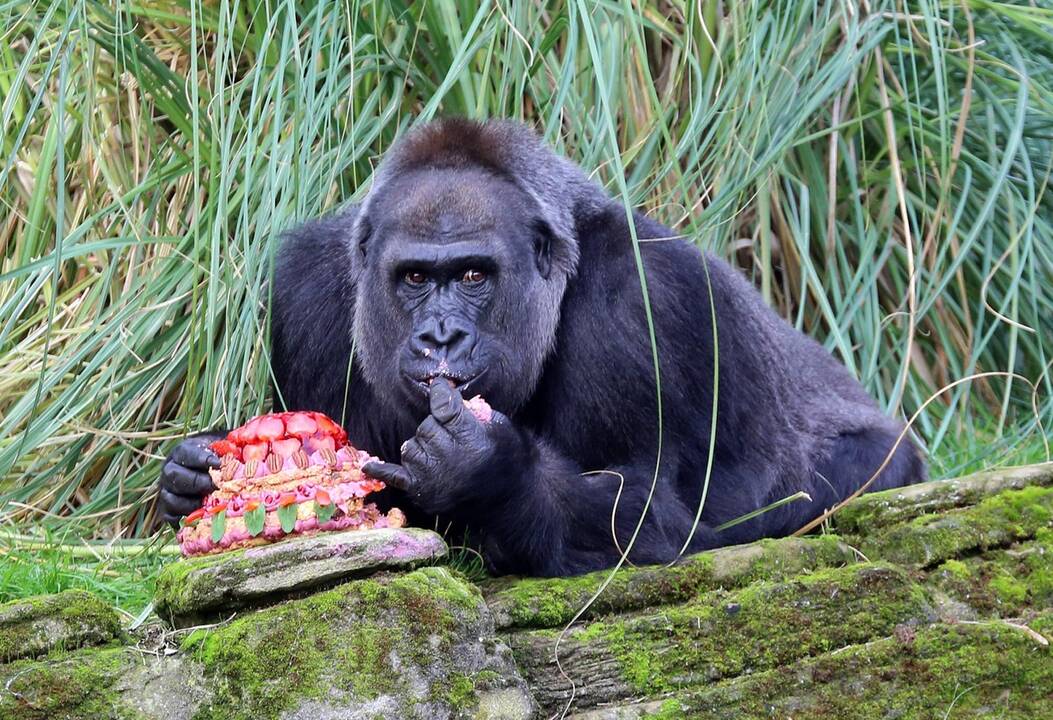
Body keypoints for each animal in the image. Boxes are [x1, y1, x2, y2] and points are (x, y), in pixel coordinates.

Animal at [160, 119, 926, 581]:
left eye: (474, 276)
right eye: (415, 279)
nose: (441, 336)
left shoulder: (644, 293)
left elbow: (650, 517)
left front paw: (488, 471)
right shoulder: (307, 289)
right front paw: (189, 476)